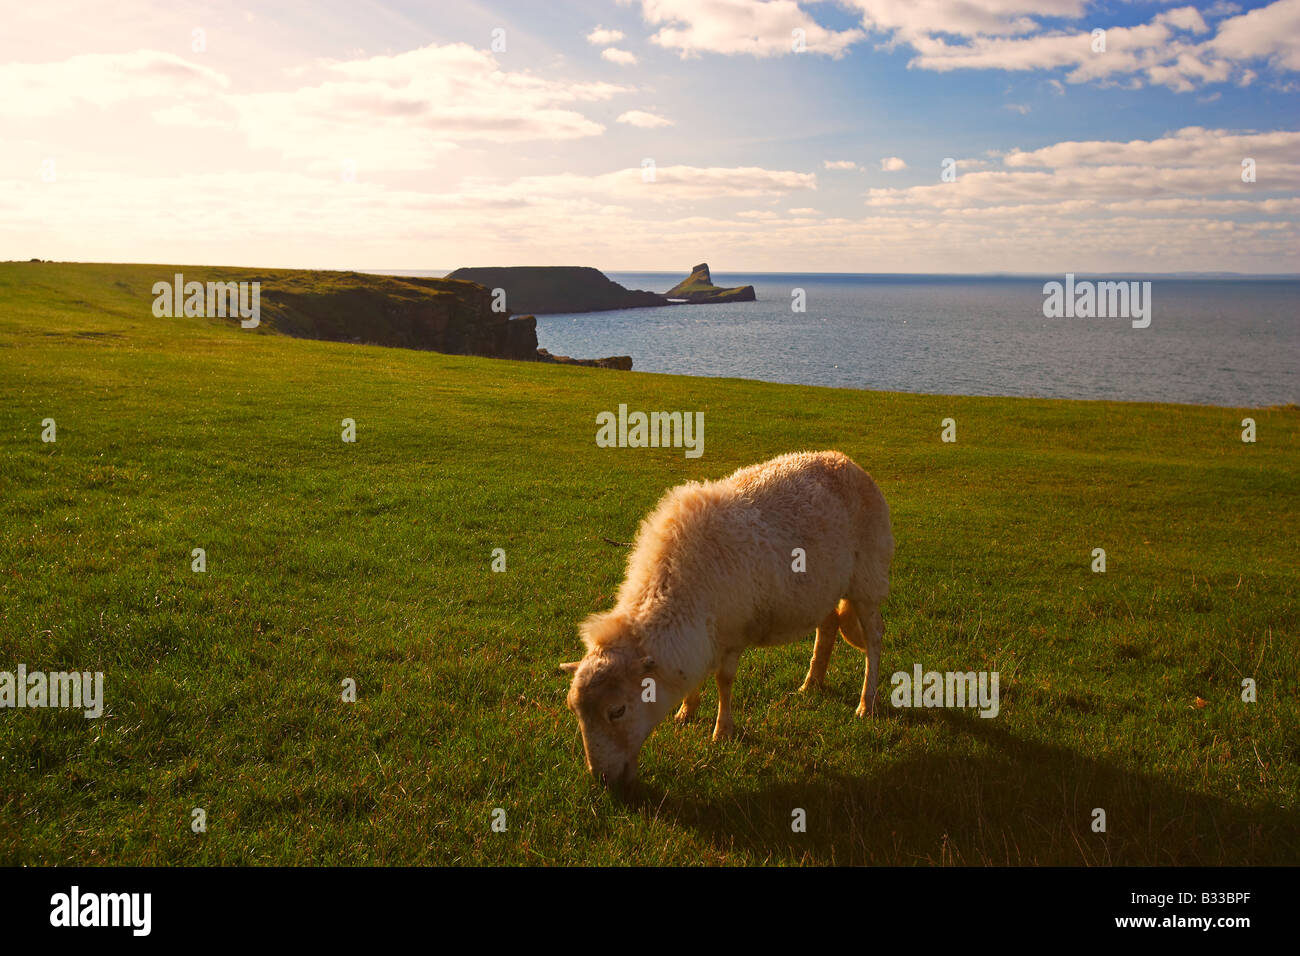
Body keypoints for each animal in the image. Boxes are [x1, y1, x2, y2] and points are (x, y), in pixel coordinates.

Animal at [559, 447, 894, 785]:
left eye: (618, 711)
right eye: (575, 712)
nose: (601, 778)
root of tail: (844, 460)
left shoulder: (732, 635)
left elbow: (724, 680)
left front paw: (722, 731)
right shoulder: (701, 637)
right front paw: (686, 711)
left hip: (868, 578)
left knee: (875, 638)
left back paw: (866, 703)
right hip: (826, 587)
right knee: (827, 627)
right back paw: (811, 683)